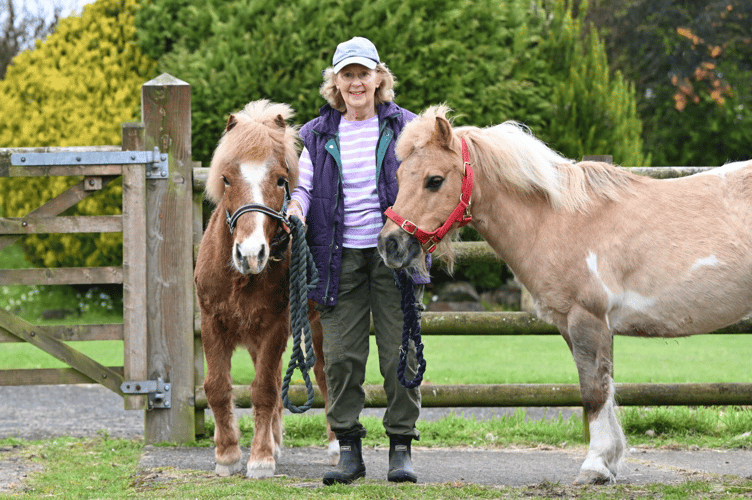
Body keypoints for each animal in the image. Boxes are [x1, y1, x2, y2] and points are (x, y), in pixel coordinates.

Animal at [194, 100, 337, 479]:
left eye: (281, 180)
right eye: (227, 179)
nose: (250, 253)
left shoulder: (275, 326)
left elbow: (264, 390)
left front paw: (259, 459)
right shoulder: (212, 322)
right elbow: (217, 387)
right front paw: (228, 455)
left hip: (315, 326)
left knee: (322, 375)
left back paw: (335, 446)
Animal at [377, 104, 752, 485]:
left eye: (434, 180)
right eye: (401, 175)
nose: (389, 244)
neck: (558, 220)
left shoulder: (586, 319)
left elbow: (594, 392)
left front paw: (594, 466)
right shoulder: (575, 326)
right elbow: (604, 387)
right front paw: (609, 461)